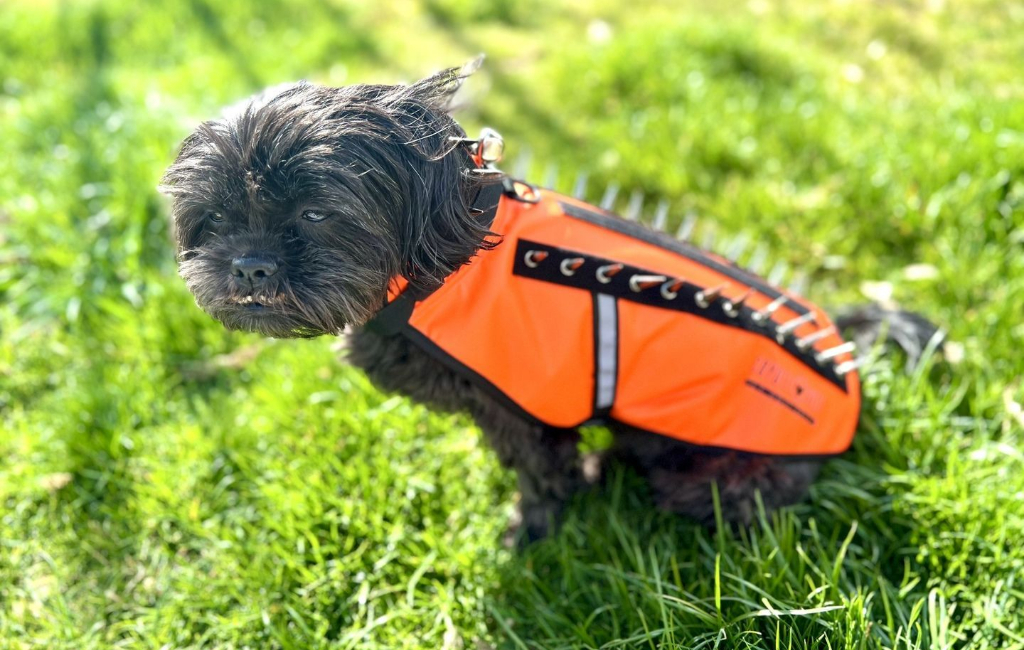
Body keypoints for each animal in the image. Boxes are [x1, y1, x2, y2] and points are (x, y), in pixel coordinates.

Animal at [161, 60, 942, 540]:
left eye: (318, 212)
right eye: (216, 217)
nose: (250, 266)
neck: (440, 267)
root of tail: (846, 360)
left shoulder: (528, 412)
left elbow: (542, 475)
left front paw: (530, 533)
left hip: (714, 477)